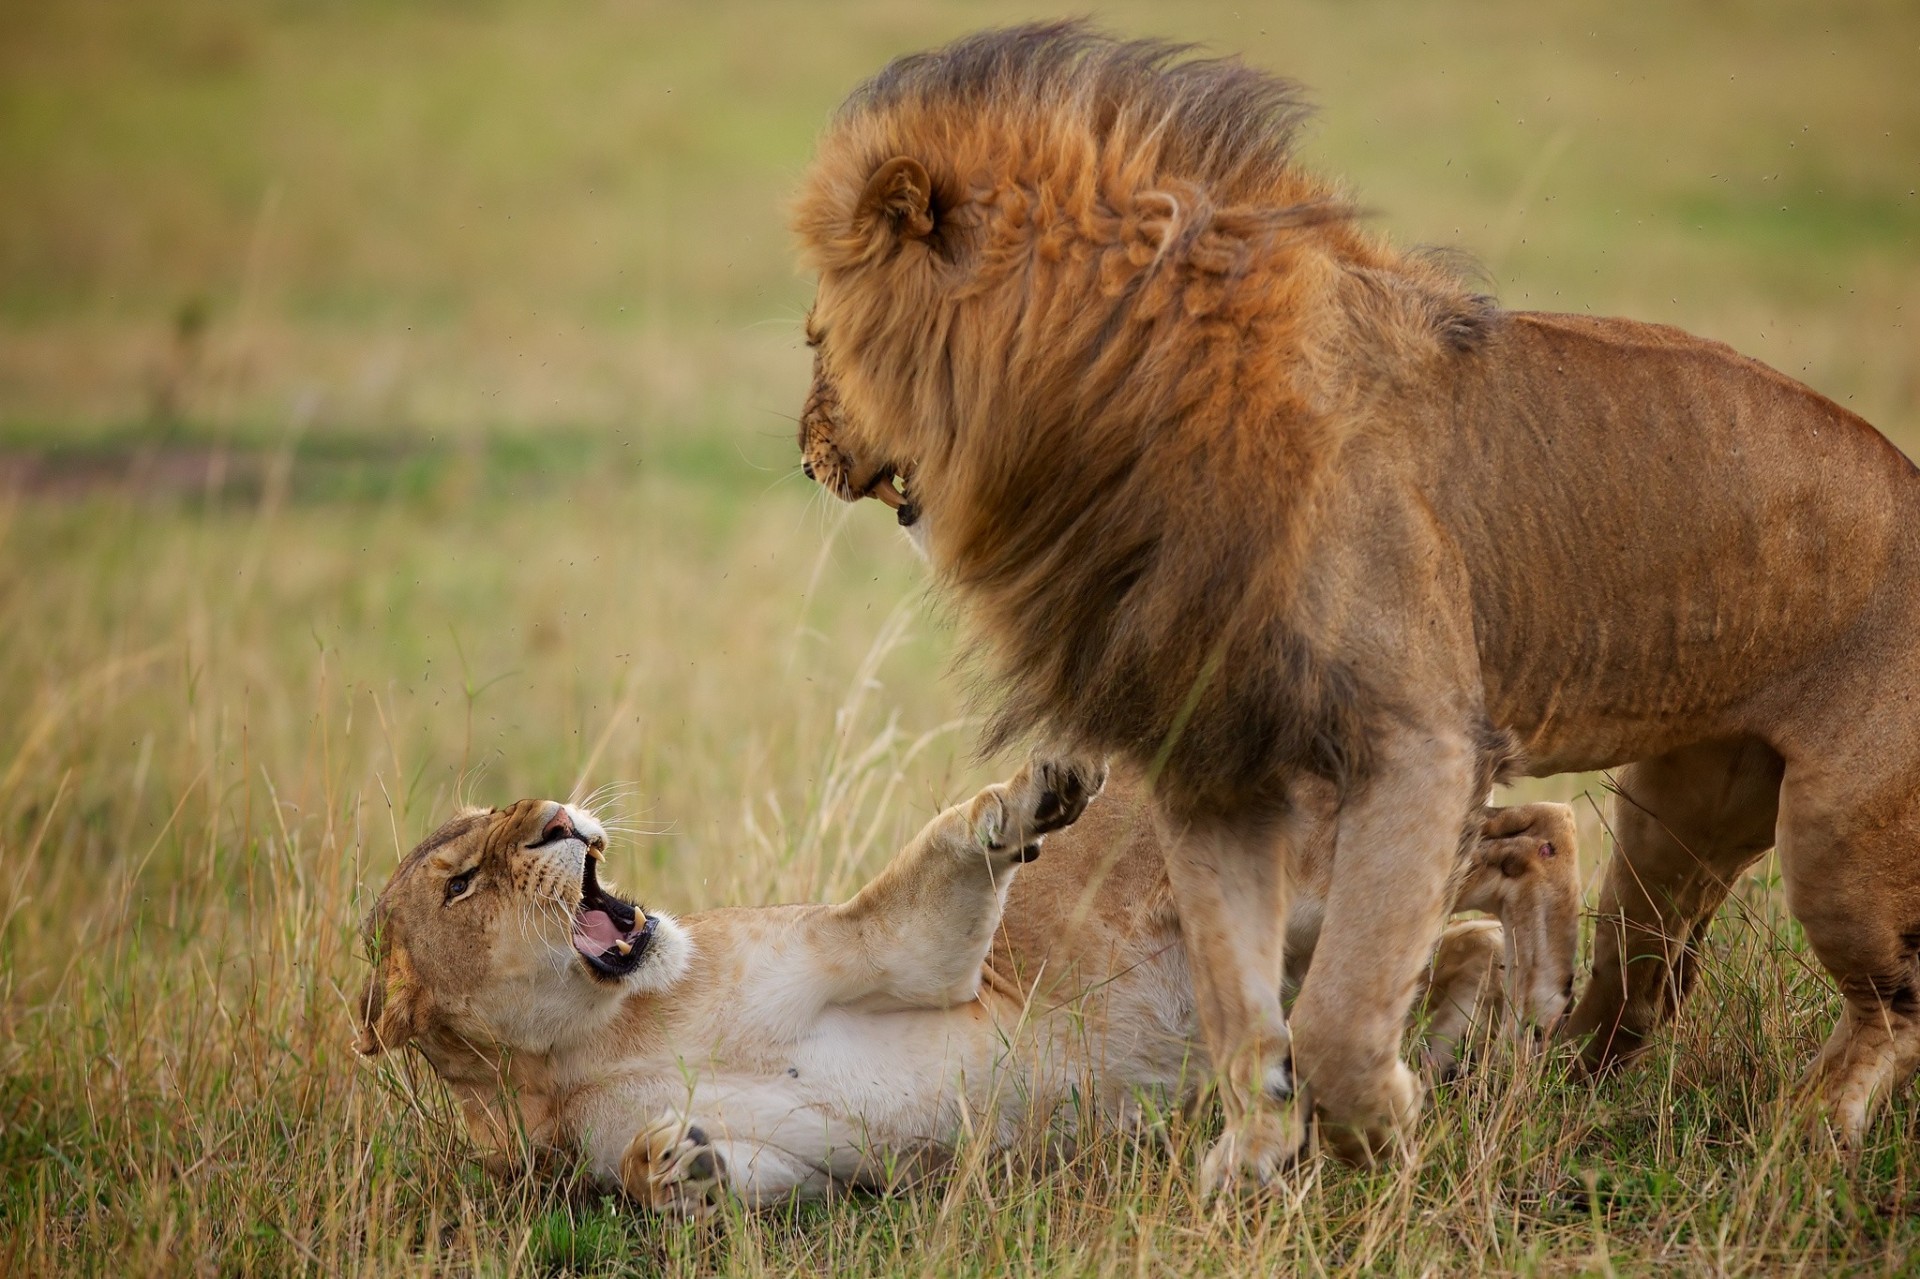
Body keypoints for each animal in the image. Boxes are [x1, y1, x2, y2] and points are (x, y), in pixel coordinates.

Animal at [356, 761, 1579, 1213]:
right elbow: (690, 1177)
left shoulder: (882, 952)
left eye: (508, 813)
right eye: (463, 879)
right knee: (1478, 907)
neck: (599, 1036)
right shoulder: (808, 1170)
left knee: (1532, 830)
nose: (561, 818)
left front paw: (1033, 798)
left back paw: (1548, 1000)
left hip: (1307, 878)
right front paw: (681, 1160)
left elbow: (952, 852)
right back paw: (1487, 1038)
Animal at [791, 22, 1920, 1185]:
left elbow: (1339, 1007)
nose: (804, 450)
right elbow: (1239, 1002)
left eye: (816, 338)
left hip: (1839, 842)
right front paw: (1248, 1167)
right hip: (1675, 826)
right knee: (1641, 984)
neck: (1111, 405)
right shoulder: (1212, 757)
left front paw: (1382, 1139)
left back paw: (1808, 1131)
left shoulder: (1425, 740)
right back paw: (1549, 1062)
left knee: (1890, 1000)